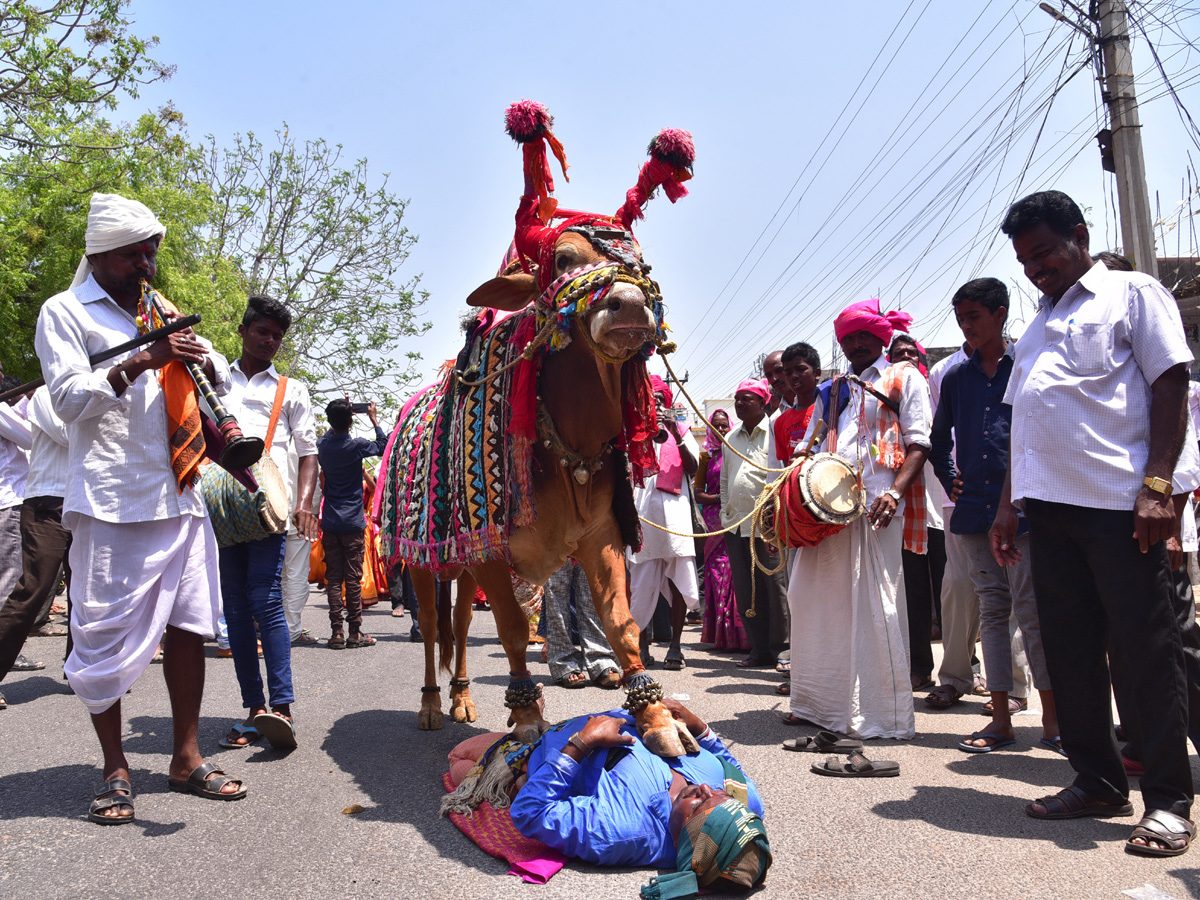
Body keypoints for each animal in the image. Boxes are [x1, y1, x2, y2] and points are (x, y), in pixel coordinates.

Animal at [374, 102, 696, 758]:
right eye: (565, 260)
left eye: (641, 265)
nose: (629, 308)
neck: (565, 443)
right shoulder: (495, 554)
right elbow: (514, 630)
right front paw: (525, 717)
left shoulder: (600, 536)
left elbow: (624, 626)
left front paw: (655, 719)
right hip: (422, 559)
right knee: (432, 627)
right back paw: (431, 705)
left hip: (462, 562)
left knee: (459, 625)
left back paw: (463, 697)